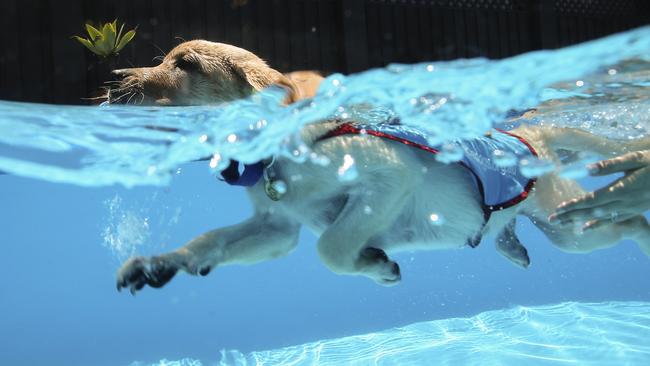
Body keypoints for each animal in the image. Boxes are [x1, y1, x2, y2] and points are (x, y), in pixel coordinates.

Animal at [112, 40, 648, 294]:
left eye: (186, 65)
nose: (117, 78)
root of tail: (524, 136)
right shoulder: (275, 228)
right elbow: (210, 241)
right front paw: (160, 263)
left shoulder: (387, 180)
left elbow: (331, 247)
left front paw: (375, 264)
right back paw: (511, 248)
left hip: (572, 227)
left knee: (630, 219)